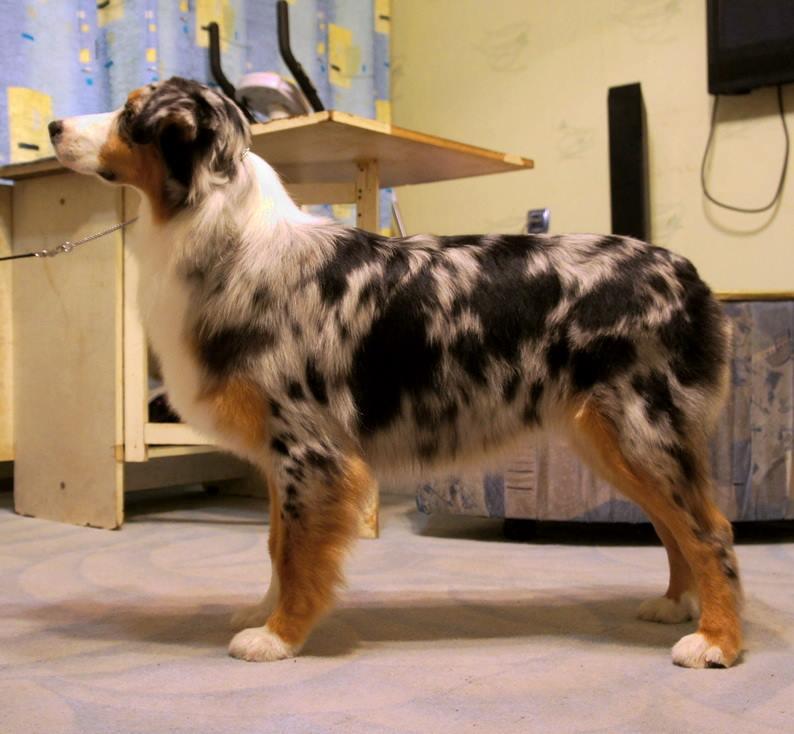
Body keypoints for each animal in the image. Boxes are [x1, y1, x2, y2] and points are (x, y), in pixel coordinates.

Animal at [49, 77, 741, 668]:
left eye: (130, 114)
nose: (53, 125)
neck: (230, 242)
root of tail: (687, 272)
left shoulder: (311, 451)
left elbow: (297, 552)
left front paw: (280, 637)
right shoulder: (281, 456)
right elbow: (275, 544)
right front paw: (265, 614)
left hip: (640, 430)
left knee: (710, 530)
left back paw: (717, 641)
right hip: (611, 439)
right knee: (674, 525)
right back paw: (677, 606)